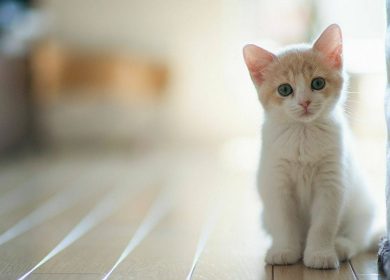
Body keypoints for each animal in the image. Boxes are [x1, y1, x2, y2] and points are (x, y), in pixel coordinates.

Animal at [245, 24, 376, 270]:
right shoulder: (276, 183)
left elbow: (323, 225)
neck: (303, 135)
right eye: (284, 89)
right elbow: (284, 221)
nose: (304, 102)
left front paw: (320, 254)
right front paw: (285, 250)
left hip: (363, 207)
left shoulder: (332, 183)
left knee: (359, 238)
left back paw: (341, 246)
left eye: (318, 83)